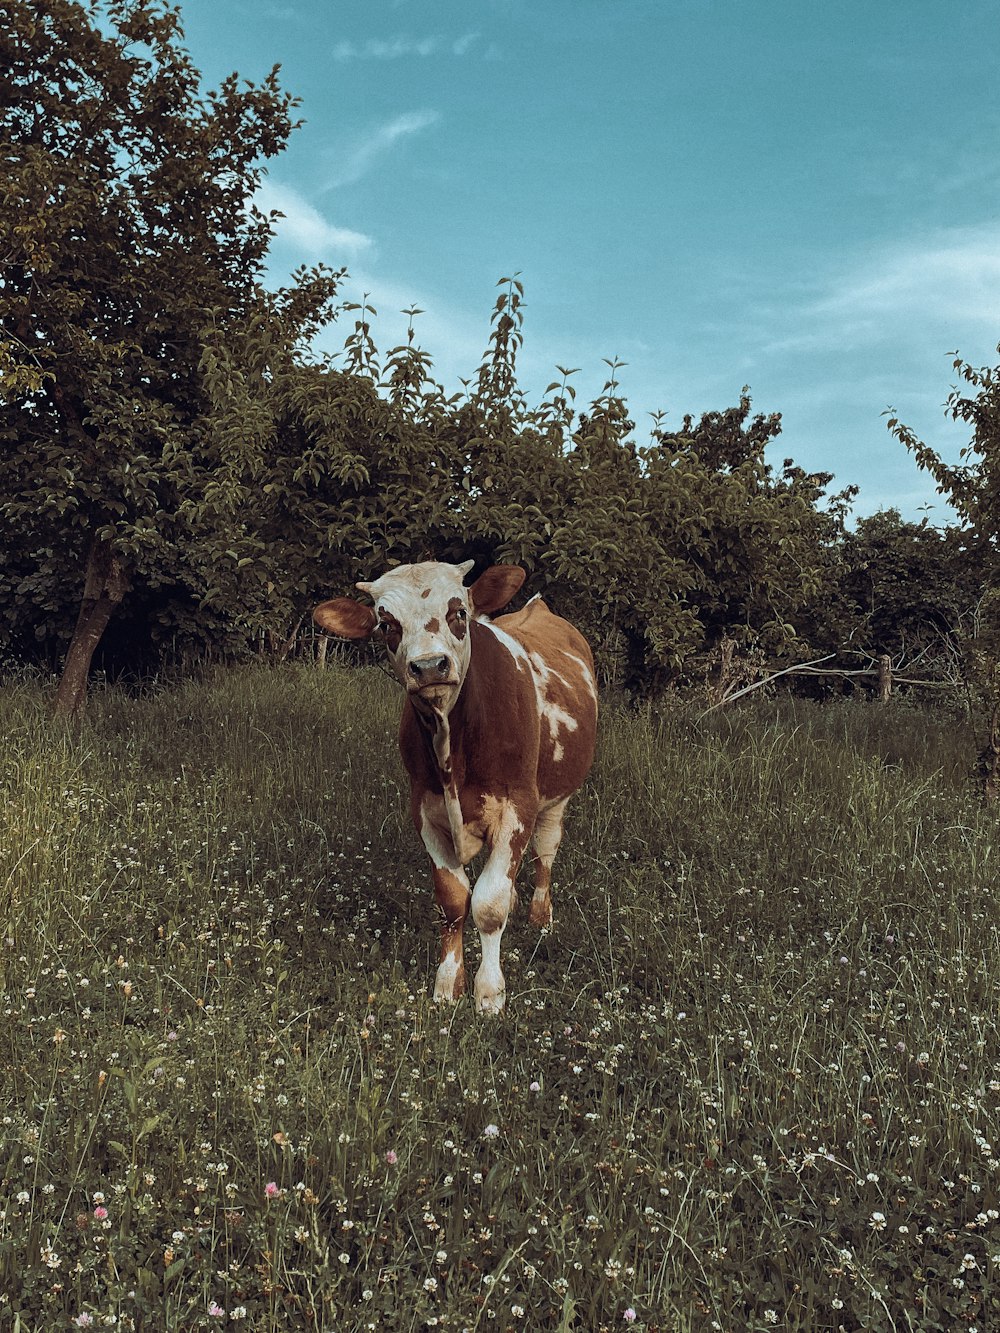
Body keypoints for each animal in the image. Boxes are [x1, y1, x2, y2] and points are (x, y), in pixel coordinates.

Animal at [314, 559, 594, 1007]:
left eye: (458, 612)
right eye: (386, 624)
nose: (429, 666)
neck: (452, 744)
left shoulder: (518, 806)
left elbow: (489, 905)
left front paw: (489, 992)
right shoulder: (425, 811)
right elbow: (454, 899)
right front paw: (448, 984)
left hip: (556, 797)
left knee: (546, 850)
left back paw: (540, 915)